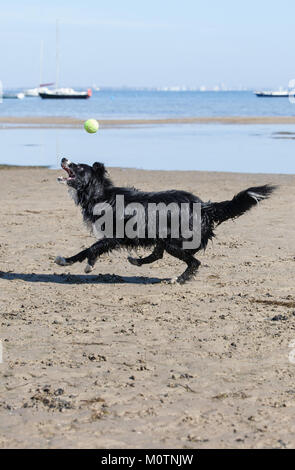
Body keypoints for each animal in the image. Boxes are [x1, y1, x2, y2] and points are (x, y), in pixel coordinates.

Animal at [55, 158, 276, 282]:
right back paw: (137, 261)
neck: (101, 194)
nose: (64, 158)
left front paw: (76, 262)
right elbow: (91, 249)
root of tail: (204, 206)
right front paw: (77, 262)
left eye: (77, 166)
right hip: (164, 238)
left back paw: (179, 279)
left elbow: (91, 248)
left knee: (194, 262)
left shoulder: (117, 235)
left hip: (174, 242)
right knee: (158, 254)